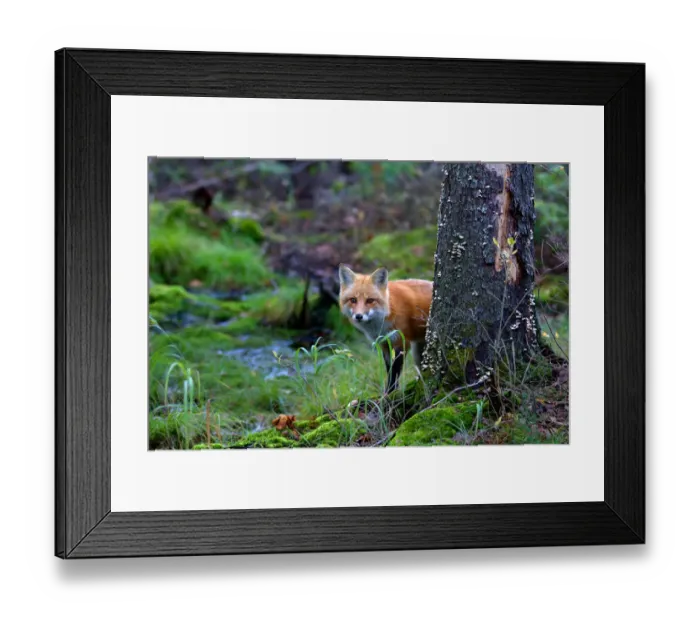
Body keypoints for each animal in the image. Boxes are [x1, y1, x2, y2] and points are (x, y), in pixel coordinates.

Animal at [338, 264, 433, 392]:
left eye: (370, 300)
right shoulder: (384, 343)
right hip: (418, 351)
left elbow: (395, 372)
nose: (359, 316)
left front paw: (391, 392)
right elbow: (389, 370)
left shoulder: (401, 342)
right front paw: (389, 391)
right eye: (353, 300)